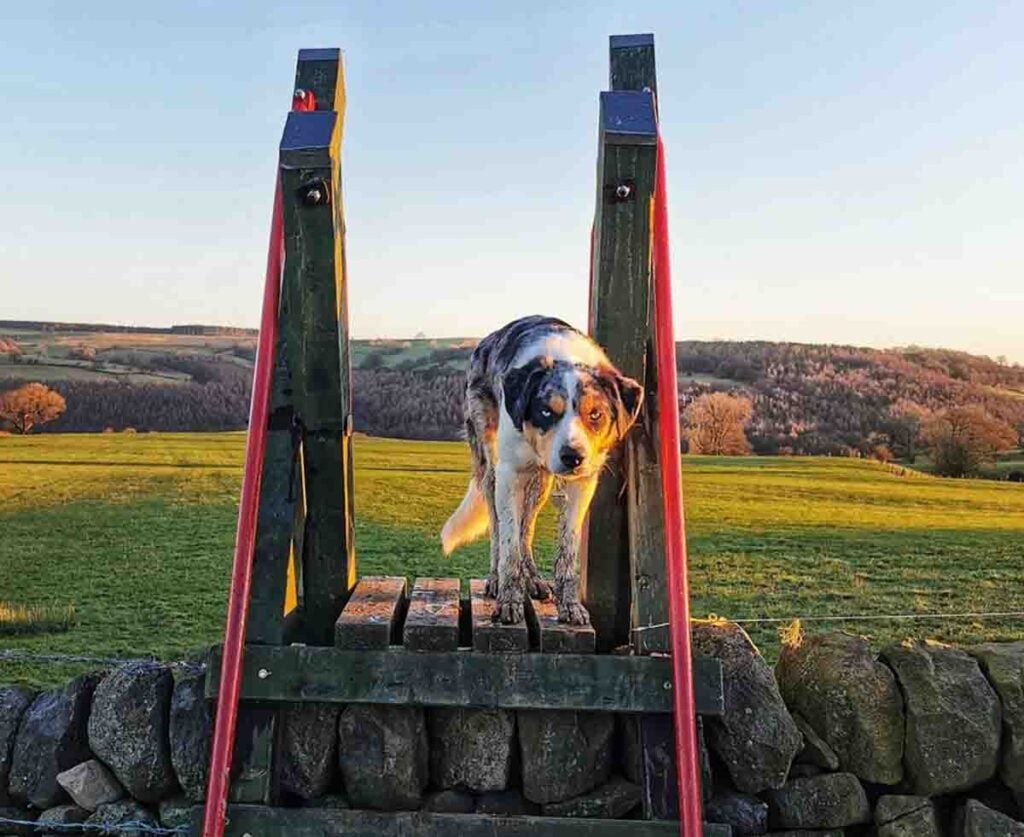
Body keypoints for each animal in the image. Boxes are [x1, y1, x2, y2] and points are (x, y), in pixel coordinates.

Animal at [438, 317, 638, 622]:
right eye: (545, 411)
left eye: (595, 414)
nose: (572, 457)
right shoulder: (509, 475)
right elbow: (508, 545)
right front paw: (508, 601)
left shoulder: (583, 484)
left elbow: (567, 549)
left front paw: (570, 605)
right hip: (489, 464)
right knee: (498, 527)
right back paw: (496, 580)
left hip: (540, 484)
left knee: (526, 529)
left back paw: (531, 579)